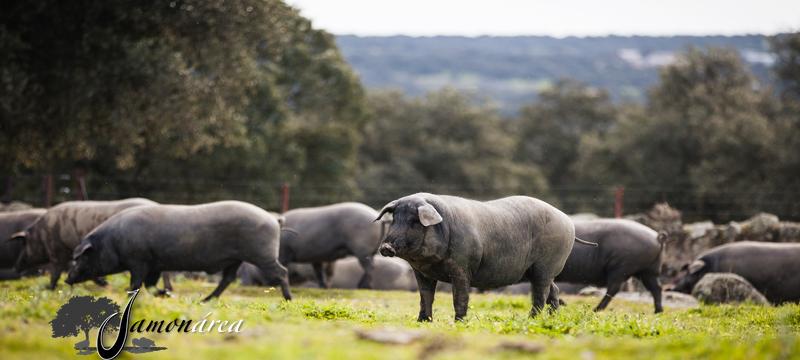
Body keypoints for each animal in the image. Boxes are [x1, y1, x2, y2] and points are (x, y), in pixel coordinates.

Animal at [65, 200, 290, 300]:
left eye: (81, 257)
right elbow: (150, 284)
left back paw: (288, 299)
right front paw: (166, 294)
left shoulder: (139, 261)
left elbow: (136, 283)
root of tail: (273, 219)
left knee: (282, 272)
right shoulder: (154, 264)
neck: (112, 241)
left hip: (262, 254)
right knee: (227, 279)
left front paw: (131, 296)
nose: (67, 279)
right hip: (236, 259)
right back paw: (206, 300)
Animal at [376, 193, 592, 322]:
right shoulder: (422, 272)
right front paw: (422, 322)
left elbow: (460, 296)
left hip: (546, 265)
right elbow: (425, 296)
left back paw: (531, 320)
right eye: (394, 219)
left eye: (414, 221)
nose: (386, 246)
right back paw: (552, 318)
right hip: (538, 271)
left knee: (540, 292)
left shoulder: (462, 266)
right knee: (553, 290)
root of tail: (567, 221)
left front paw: (459, 322)